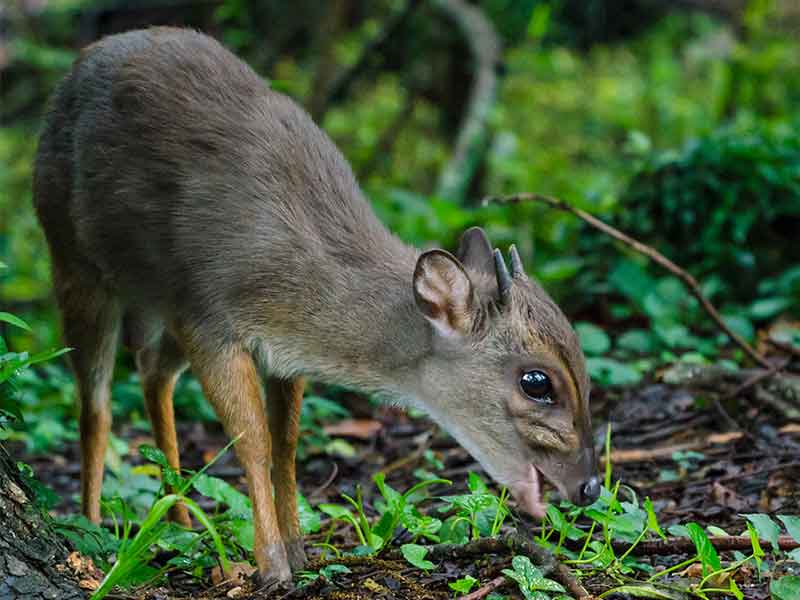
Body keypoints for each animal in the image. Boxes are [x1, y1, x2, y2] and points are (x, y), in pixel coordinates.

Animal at [36, 27, 600, 580]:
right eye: (537, 382)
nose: (592, 486)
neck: (297, 268)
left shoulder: (281, 352)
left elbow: (286, 444)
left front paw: (299, 549)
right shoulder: (210, 319)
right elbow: (251, 439)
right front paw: (271, 565)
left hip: (162, 303)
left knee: (153, 372)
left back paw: (180, 521)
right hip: (73, 260)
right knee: (96, 402)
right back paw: (92, 533)